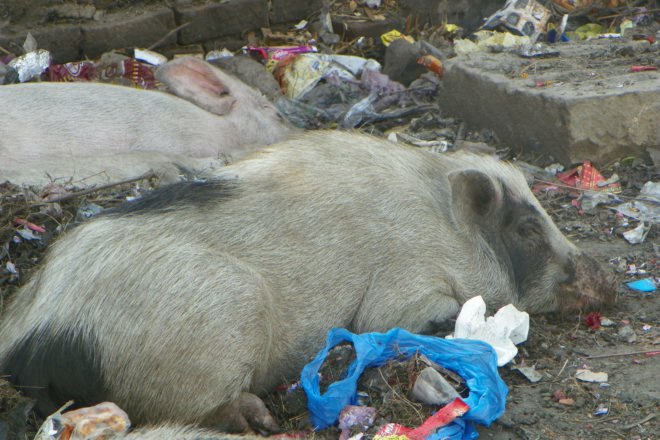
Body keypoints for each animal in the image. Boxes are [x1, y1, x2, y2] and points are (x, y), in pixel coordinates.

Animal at [0, 131, 616, 433]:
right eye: (529, 228)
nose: (606, 278)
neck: (444, 224)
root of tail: (31, 330)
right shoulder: (404, 282)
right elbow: (394, 318)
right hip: (220, 313)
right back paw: (264, 419)